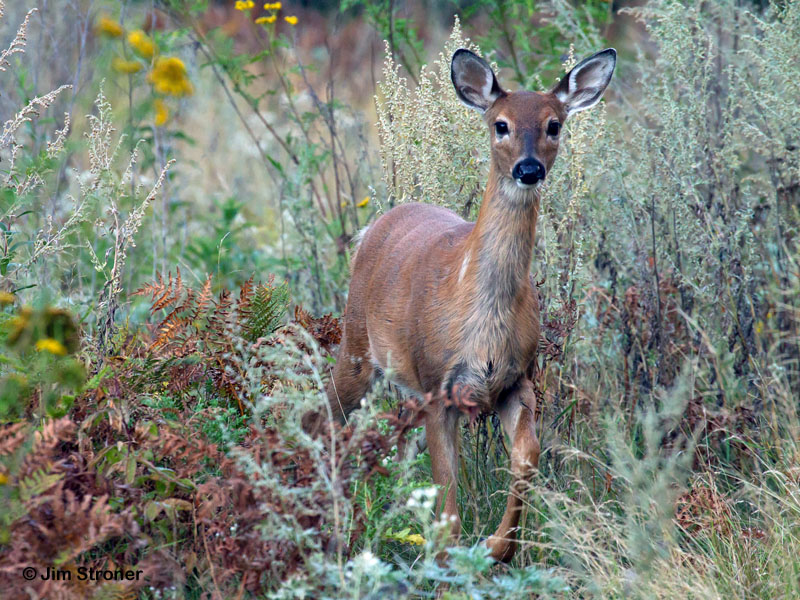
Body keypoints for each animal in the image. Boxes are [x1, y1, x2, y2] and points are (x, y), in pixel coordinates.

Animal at [325, 47, 616, 563]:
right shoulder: (437, 384)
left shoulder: (516, 379)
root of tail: (373, 226)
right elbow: (448, 501)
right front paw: (448, 563)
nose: (528, 169)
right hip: (358, 345)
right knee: (326, 411)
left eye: (554, 124)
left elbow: (527, 456)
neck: (480, 319)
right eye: (500, 124)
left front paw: (497, 546)